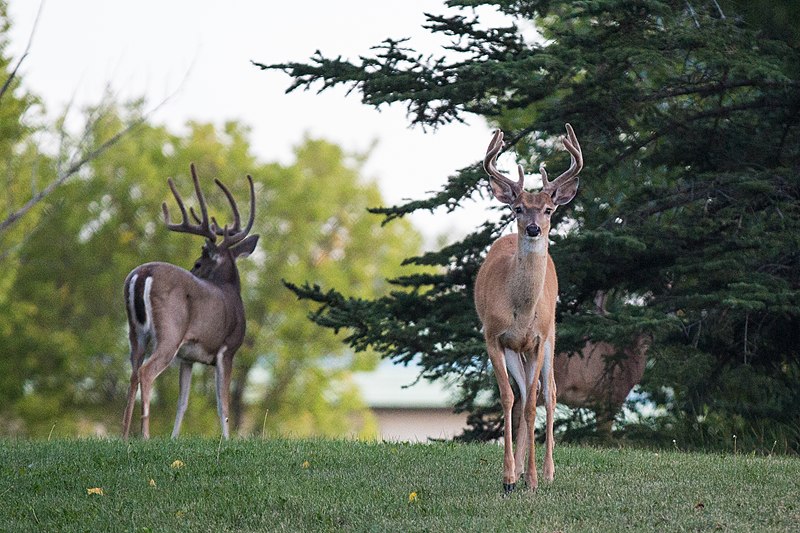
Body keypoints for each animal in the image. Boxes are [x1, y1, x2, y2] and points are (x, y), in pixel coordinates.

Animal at [122, 164, 260, 438]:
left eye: (197, 263)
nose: (192, 269)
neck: (230, 290)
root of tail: (142, 274)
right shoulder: (227, 349)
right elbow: (223, 403)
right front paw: (227, 440)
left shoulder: (187, 358)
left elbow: (182, 402)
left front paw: (174, 438)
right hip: (170, 331)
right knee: (146, 372)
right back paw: (145, 436)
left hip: (136, 333)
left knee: (132, 373)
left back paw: (123, 435)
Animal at [476, 122, 580, 492]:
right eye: (517, 208)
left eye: (549, 209)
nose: (534, 228)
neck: (520, 311)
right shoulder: (493, 336)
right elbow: (509, 398)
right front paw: (509, 476)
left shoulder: (537, 339)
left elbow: (536, 403)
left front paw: (533, 479)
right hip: (515, 350)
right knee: (522, 395)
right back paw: (519, 469)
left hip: (552, 335)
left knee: (548, 393)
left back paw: (547, 472)